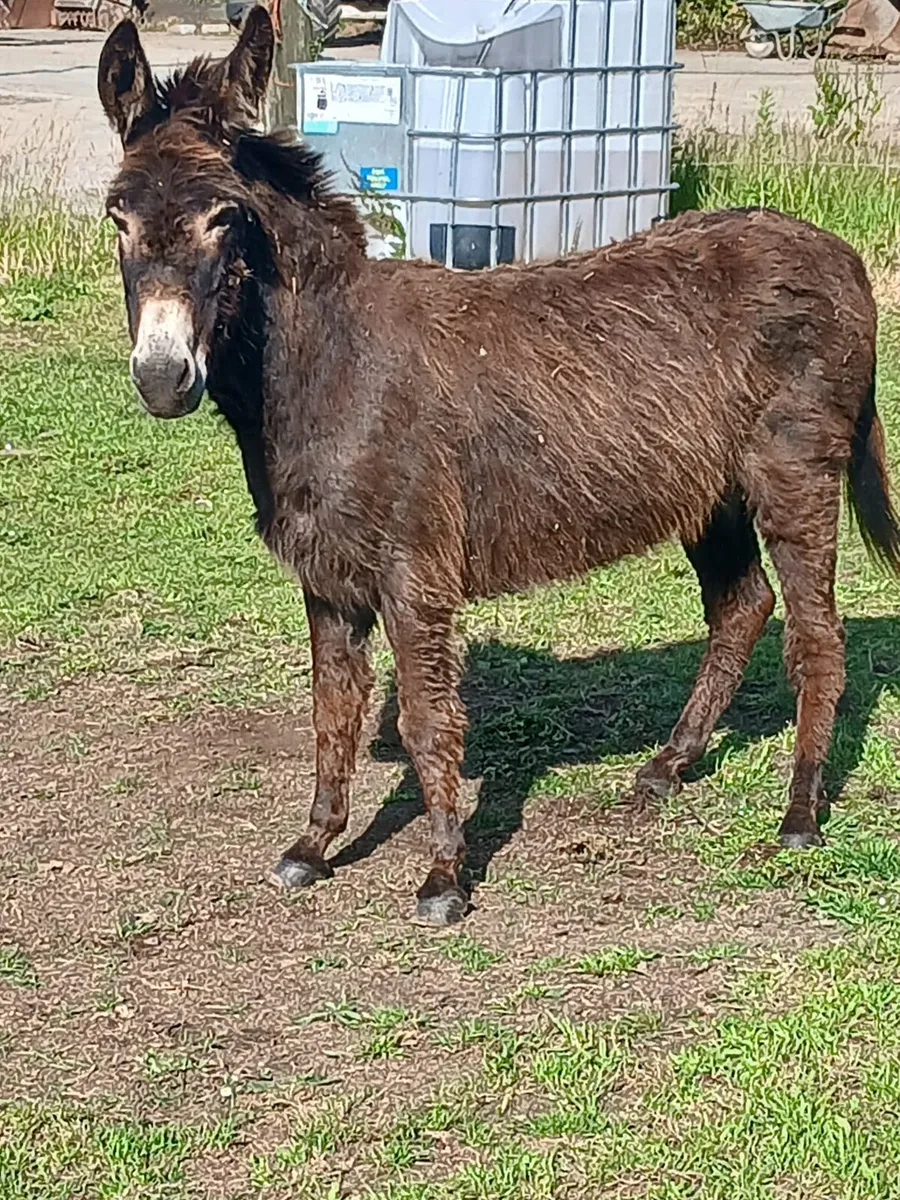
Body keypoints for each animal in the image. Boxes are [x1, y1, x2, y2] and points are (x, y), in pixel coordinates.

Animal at [98, 8, 900, 924]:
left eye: (224, 219)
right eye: (117, 218)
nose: (163, 378)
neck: (329, 362)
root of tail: (836, 250)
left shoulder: (413, 569)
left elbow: (425, 718)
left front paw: (444, 877)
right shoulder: (327, 576)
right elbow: (332, 710)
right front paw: (314, 845)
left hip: (793, 472)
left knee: (817, 636)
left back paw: (799, 814)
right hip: (713, 490)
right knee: (741, 607)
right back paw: (668, 767)